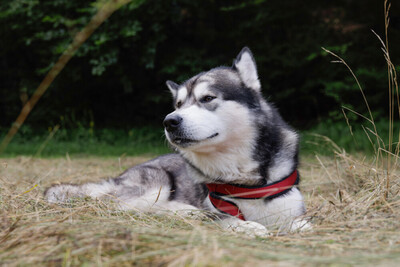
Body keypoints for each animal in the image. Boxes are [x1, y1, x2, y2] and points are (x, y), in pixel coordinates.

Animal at [45, 47, 310, 238]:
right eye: (179, 104)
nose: (169, 121)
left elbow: (304, 225)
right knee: (124, 206)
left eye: (207, 98)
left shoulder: (292, 208)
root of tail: (118, 177)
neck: (242, 182)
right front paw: (247, 227)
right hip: (157, 181)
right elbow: (225, 220)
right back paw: (182, 211)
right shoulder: (214, 209)